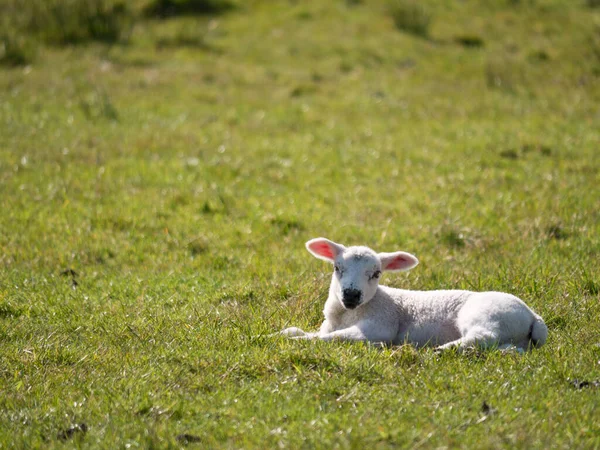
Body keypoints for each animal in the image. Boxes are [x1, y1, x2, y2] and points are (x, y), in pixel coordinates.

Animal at [282, 236, 548, 352]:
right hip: (513, 339)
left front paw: (292, 342)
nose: (351, 295)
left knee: (483, 336)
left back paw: (443, 349)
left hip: (488, 315)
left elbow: (332, 339)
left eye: (376, 273)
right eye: (337, 268)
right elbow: (300, 331)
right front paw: (283, 334)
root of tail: (533, 316)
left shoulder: (380, 327)